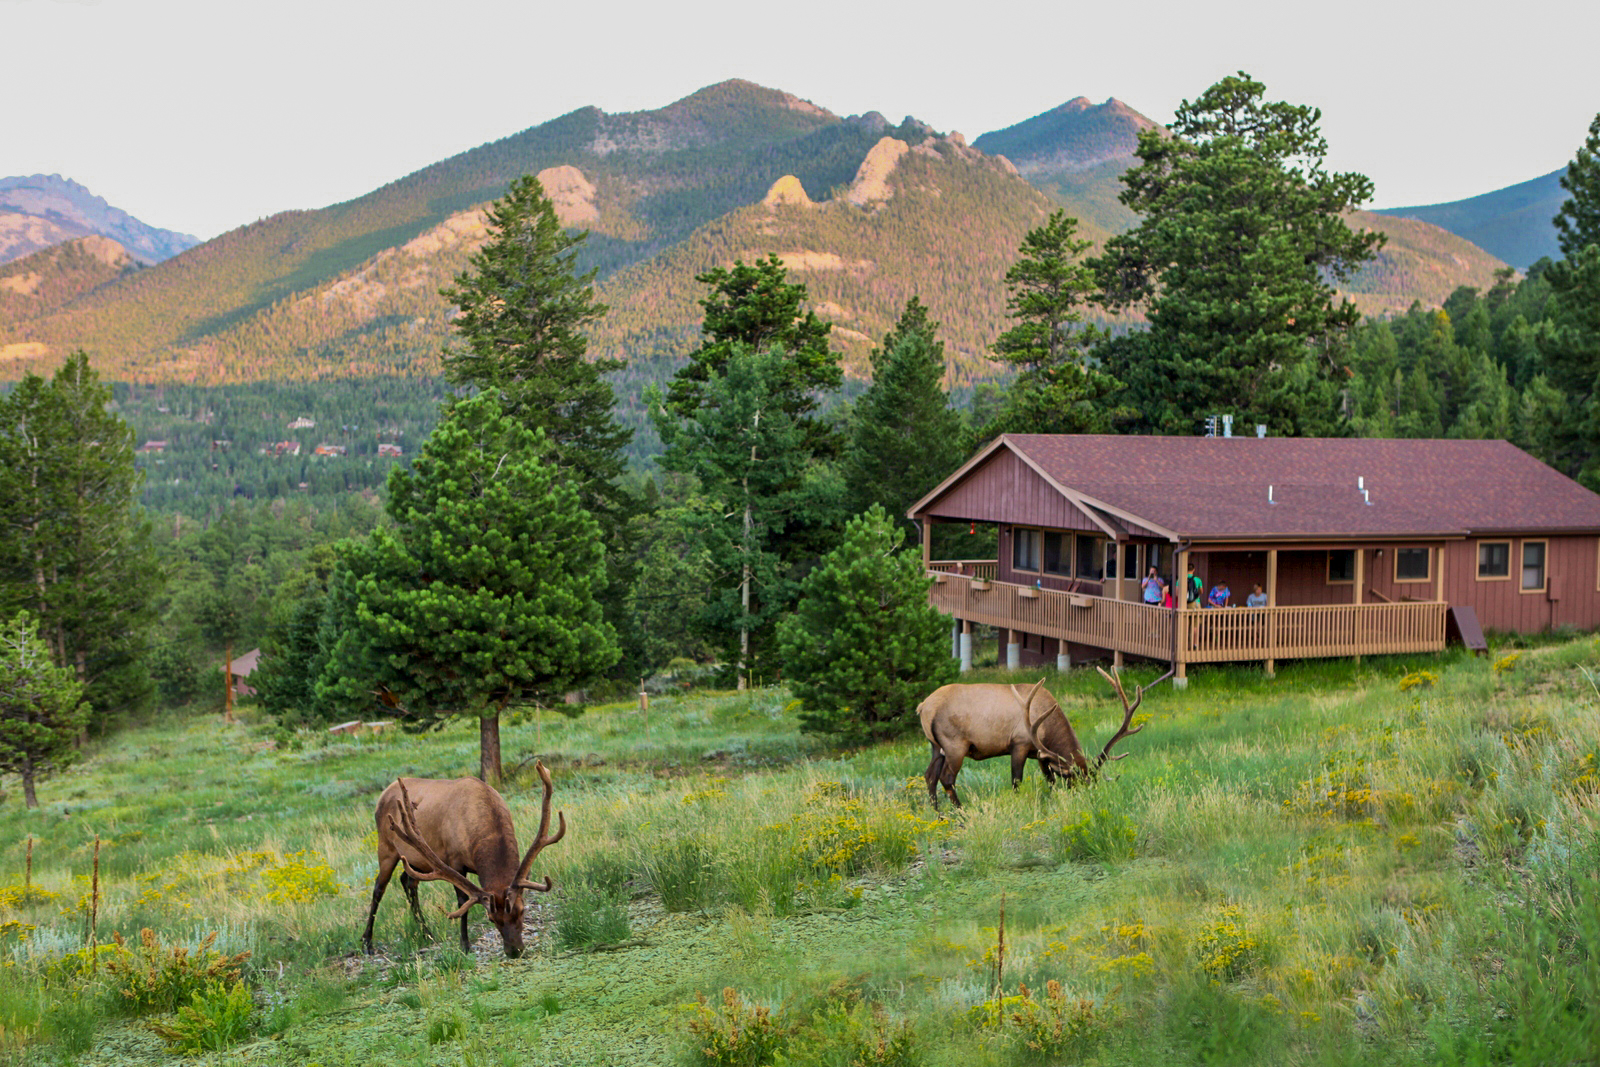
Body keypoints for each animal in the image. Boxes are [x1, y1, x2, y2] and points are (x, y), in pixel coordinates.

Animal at [360, 758, 566, 959]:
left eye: (522, 910)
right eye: (491, 919)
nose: (514, 951)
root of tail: (384, 792)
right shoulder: (454, 861)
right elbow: (462, 901)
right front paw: (464, 944)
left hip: (416, 860)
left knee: (407, 881)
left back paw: (426, 933)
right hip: (386, 847)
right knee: (379, 888)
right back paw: (367, 942)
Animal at [921, 668, 1171, 809]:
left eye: (1093, 783)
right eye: (1075, 783)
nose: (1089, 803)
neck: (1047, 731)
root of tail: (923, 707)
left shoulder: (1041, 754)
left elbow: (1050, 781)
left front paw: (1051, 801)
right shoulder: (1020, 743)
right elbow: (1016, 781)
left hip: (936, 746)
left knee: (929, 776)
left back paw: (937, 814)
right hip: (955, 743)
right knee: (946, 778)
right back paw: (960, 811)